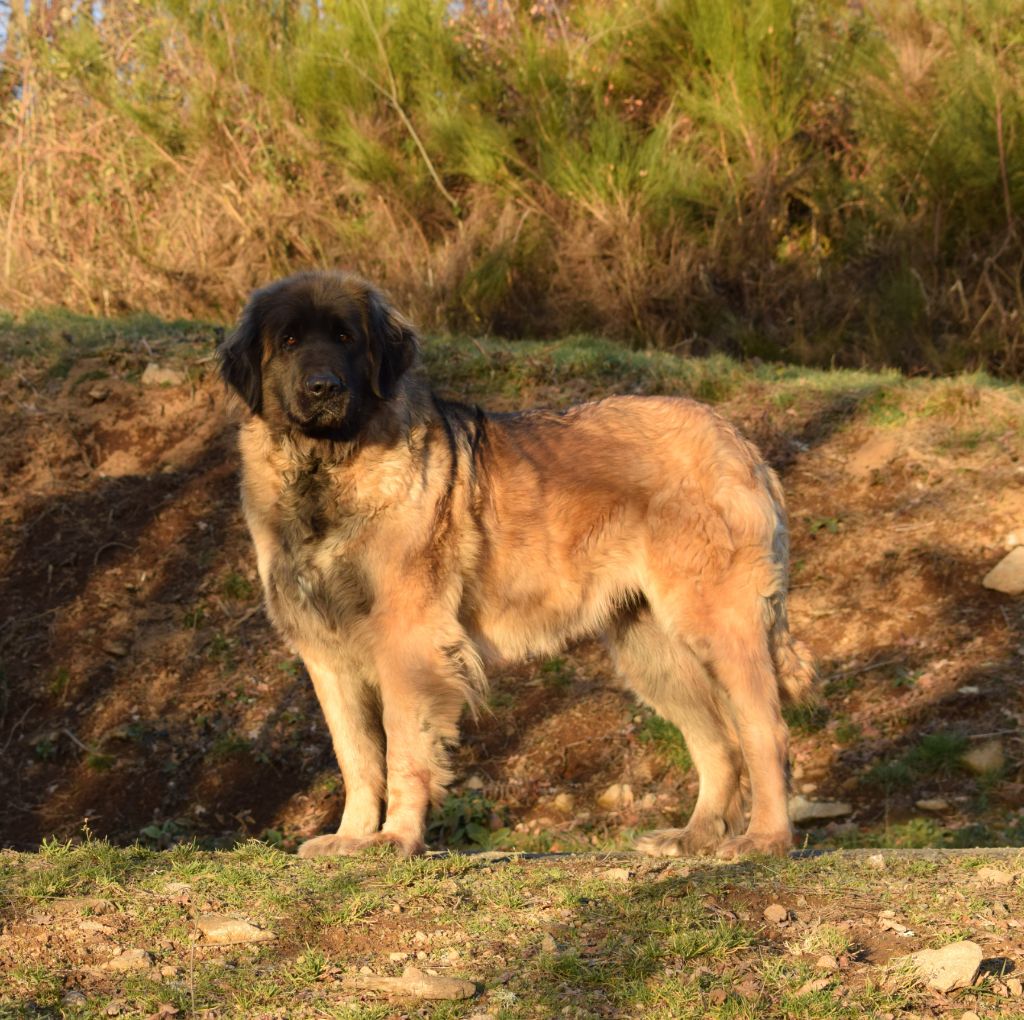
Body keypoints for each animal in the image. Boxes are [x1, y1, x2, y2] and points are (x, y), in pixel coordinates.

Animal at [218, 270, 815, 859]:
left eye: (345, 338)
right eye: (289, 341)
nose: (324, 388)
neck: (326, 470)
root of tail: (737, 441)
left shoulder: (407, 639)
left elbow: (403, 747)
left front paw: (395, 838)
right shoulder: (326, 651)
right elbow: (357, 755)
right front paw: (351, 836)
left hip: (717, 621)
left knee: (765, 730)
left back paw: (765, 838)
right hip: (653, 649)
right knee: (717, 740)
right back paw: (694, 836)